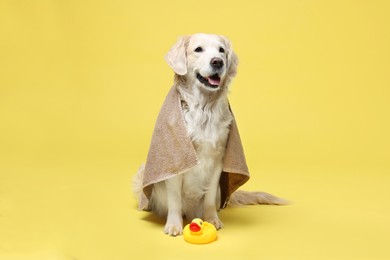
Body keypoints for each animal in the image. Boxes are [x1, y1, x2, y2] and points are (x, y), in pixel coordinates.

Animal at [134, 33, 286, 237]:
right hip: (143, 170)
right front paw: (173, 225)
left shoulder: (218, 160)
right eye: (198, 49)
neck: (204, 108)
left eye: (221, 50)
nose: (217, 62)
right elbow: (174, 198)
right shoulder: (176, 161)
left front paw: (212, 219)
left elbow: (210, 196)